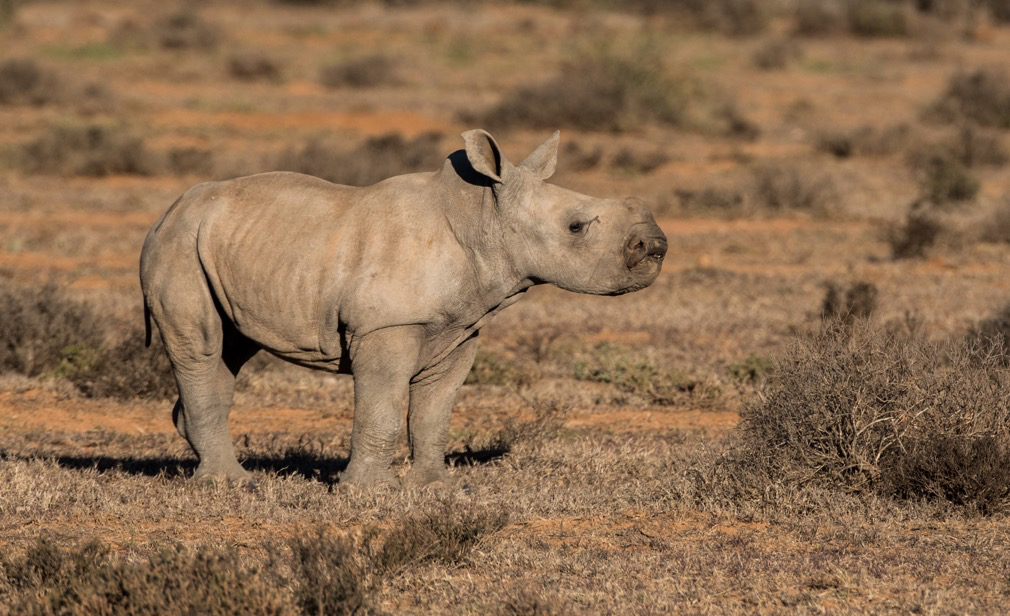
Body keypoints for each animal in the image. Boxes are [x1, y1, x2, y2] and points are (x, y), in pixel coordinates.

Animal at [138, 129, 666, 484]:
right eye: (576, 227)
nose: (657, 246)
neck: (481, 219)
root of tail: (168, 210)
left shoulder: (461, 326)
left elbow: (435, 410)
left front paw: (435, 488)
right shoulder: (386, 325)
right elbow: (384, 406)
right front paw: (368, 493)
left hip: (223, 245)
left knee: (230, 349)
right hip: (178, 243)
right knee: (201, 346)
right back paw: (232, 484)